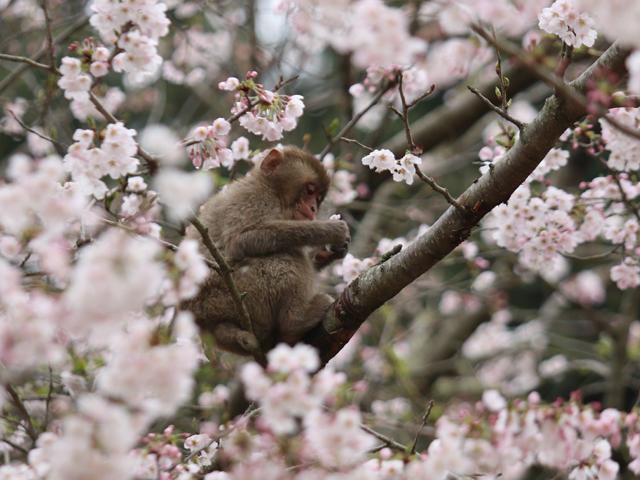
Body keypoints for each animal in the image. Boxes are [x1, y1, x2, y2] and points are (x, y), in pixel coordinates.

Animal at [180, 146, 350, 356]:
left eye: (318, 199)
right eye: (309, 191)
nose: (312, 208)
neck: (272, 189)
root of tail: (200, 318)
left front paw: (331, 251)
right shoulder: (255, 197)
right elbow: (240, 240)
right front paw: (330, 230)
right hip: (235, 291)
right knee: (287, 255)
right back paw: (295, 321)